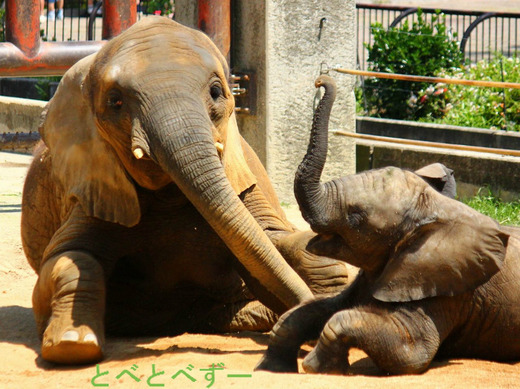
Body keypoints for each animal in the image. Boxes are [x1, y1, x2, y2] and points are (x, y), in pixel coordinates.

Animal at [23, 18, 350, 364]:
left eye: (216, 92)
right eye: (115, 102)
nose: (320, 80)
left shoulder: (244, 188)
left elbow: (272, 243)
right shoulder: (94, 188)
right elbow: (68, 257)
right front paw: (73, 344)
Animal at [256, 74, 520, 374]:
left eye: (356, 217)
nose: (320, 81)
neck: (432, 207)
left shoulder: (446, 285)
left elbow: (412, 351)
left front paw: (318, 368)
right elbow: (317, 310)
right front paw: (271, 368)